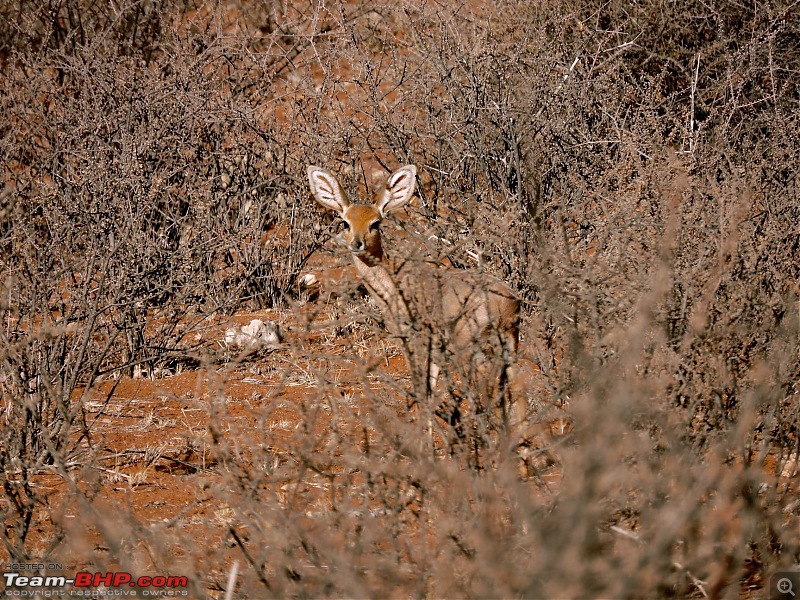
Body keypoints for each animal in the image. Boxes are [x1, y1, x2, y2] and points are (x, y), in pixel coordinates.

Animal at [306, 163, 524, 446]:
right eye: (346, 222)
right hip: (509, 342)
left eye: (376, 222)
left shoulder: (414, 341)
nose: (357, 244)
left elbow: (422, 389)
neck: (392, 284)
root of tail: (506, 301)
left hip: (471, 347)